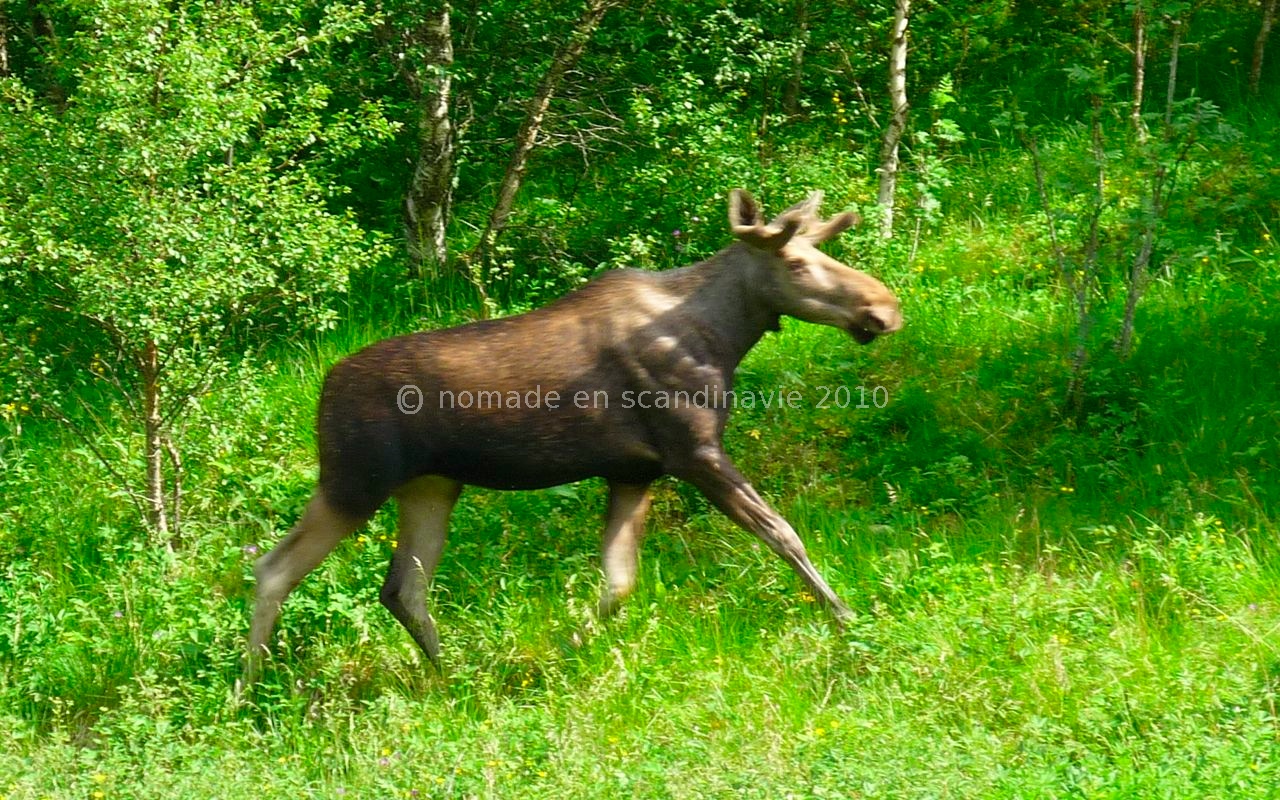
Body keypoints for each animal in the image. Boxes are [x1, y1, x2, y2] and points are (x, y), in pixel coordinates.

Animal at [247, 190, 901, 675]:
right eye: (796, 263)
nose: (885, 308)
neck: (724, 337)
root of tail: (323, 388)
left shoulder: (634, 472)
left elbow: (618, 583)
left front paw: (566, 647)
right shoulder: (693, 451)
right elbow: (783, 534)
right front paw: (845, 616)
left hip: (430, 487)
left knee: (403, 589)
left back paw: (449, 679)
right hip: (354, 480)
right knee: (273, 568)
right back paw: (251, 692)